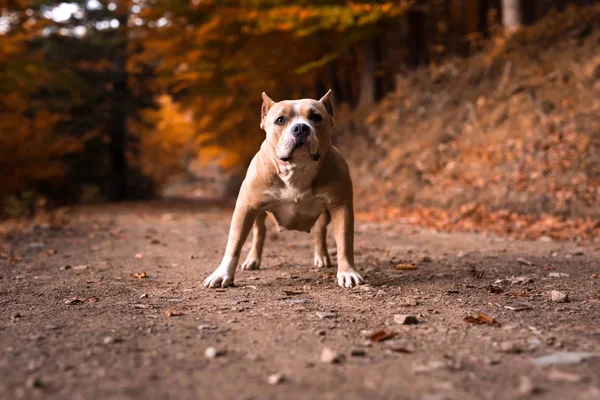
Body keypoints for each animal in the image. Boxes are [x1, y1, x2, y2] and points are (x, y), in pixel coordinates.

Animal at [203, 91, 366, 288]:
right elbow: (234, 243)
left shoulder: (341, 206)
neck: (296, 169)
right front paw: (222, 274)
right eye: (280, 120)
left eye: (316, 117)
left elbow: (344, 242)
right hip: (258, 213)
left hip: (327, 212)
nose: (301, 128)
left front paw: (347, 272)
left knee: (320, 230)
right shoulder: (246, 207)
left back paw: (321, 257)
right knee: (260, 232)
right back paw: (253, 260)